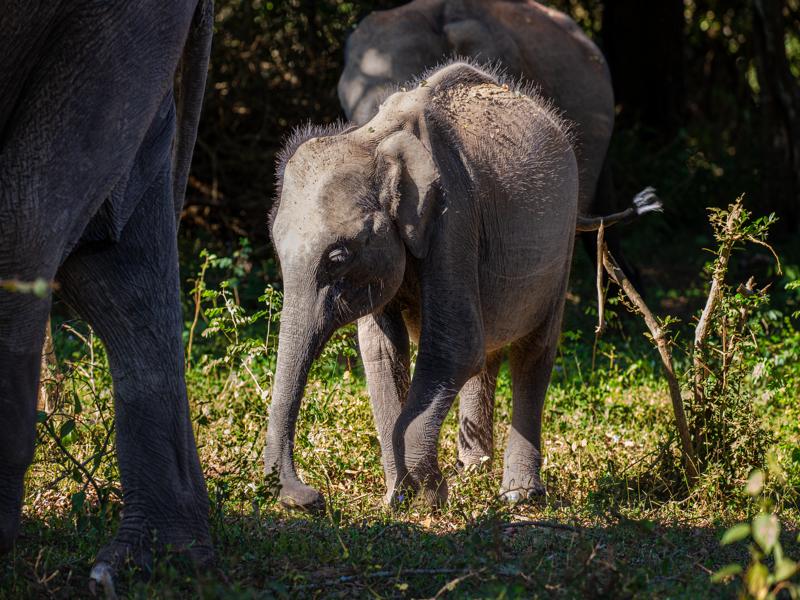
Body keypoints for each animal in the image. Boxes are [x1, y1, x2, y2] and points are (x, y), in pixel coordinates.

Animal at [267, 61, 660, 511]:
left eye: (337, 257)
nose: (309, 497)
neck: (374, 138)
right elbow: (383, 351)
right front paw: (398, 500)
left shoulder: (453, 217)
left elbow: (453, 348)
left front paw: (430, 499)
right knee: (488, 348)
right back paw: (473, 469)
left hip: (559, 247)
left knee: (532, 352)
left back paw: (519, 495)